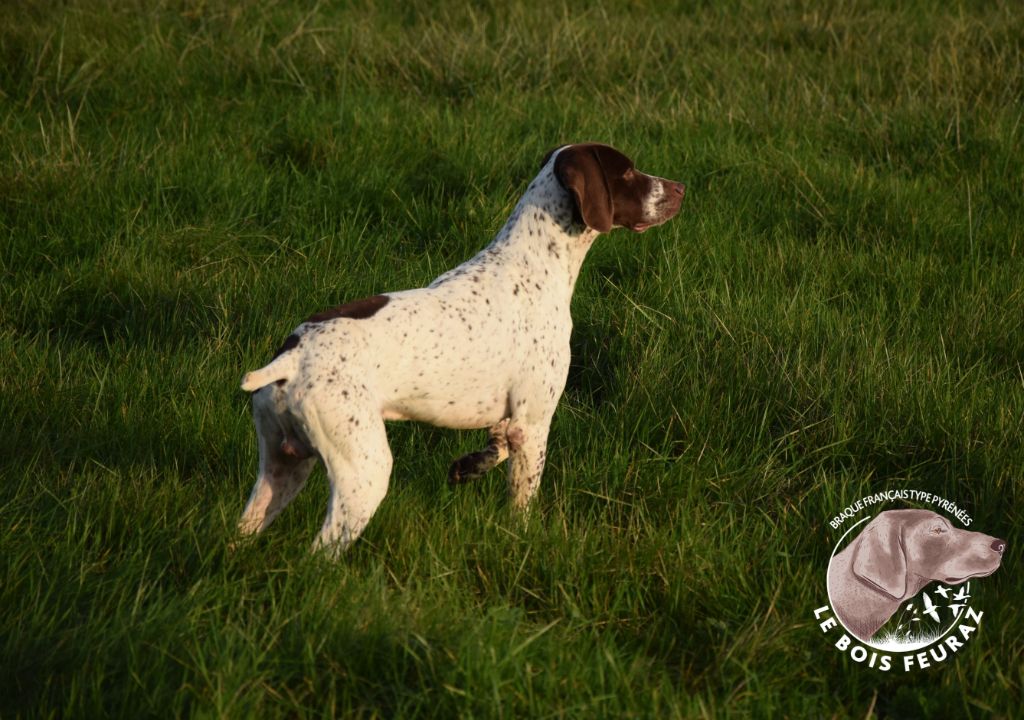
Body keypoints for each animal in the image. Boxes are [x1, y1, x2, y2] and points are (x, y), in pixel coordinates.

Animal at [238, 143, 684, 553]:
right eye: (626, 172)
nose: (680, 188)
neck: (533, 266)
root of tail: (292, 357)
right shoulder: (533, 422)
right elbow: (522, 501)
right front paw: (522, 538)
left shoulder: (509, 422)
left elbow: (494, 448)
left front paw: (467, 468)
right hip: (363, 470)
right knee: (322, 550)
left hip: (282, 468)